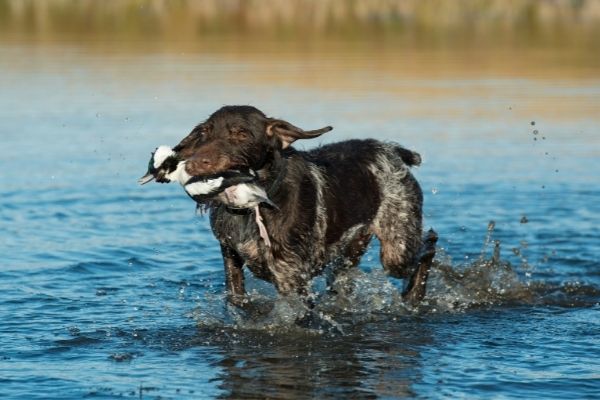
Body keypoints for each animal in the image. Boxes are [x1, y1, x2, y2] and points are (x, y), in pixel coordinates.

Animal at [143, 105, 438, 310]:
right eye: (204, 132)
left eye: (241, 134)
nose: (195, 163)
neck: (255, 206)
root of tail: (394, 151)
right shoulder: (230, 255)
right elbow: (237, 297)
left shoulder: (292, 279)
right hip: (346, 260)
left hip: (397, 250)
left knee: (427, 247)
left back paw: (415, 293)